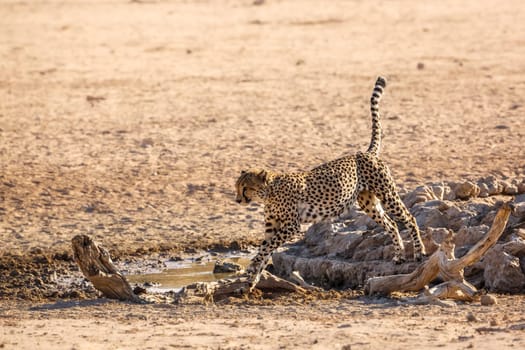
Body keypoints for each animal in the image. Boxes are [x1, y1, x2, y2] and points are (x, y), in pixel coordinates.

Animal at [236, 78, 426, 292]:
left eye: (245, 188)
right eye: (237, 187)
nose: (237, 200)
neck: (269, 192)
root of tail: (365, 152)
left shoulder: (292, 226)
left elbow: (265, 249)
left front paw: (251, 269)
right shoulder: (272, 227)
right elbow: (266, 249)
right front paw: (250, 283)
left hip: (387, 194)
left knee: (409, 217)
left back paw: (419, 252)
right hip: (368, 203)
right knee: (392, 224)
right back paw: (399, 256)